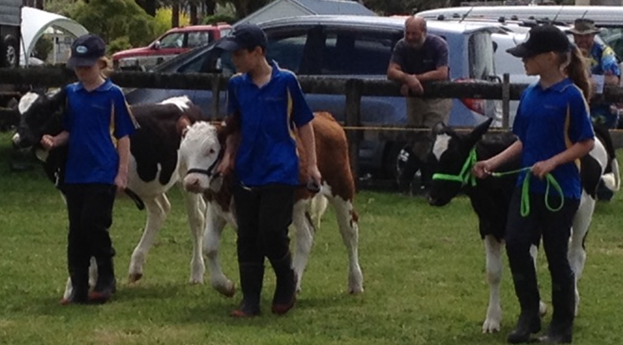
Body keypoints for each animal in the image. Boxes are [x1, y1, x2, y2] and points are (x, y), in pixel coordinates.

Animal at [12, 90, 208, 296]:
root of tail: (186, 101)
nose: (18, 139)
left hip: (186, 178)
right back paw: (136, 267)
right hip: (147, 185)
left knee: (196, 219)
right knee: (160, 210)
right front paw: (80, 284)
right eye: (17, 114)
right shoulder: (69, 193)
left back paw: (196, 272)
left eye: (40, 111)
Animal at [177, 111, 366, 294]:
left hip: (341, 189)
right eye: (184, 152)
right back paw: (295, 282)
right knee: (306, 235)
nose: (192, 182)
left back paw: (355, 282)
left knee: (349, 231)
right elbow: (210, 246)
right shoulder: (217, 207)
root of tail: (325, 116)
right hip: (297, 205)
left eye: (211, 150)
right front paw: (225, 286)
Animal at [426, 118, 616, 334]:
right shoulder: (487, 226)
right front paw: (492, 320)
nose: (433, 197)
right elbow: (493, 272)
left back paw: (573, 303)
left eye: (454, 157)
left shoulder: (529, 228)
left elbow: (528, 266)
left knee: (577, 253)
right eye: (430, 158)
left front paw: (538, 308)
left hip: (585, 208)